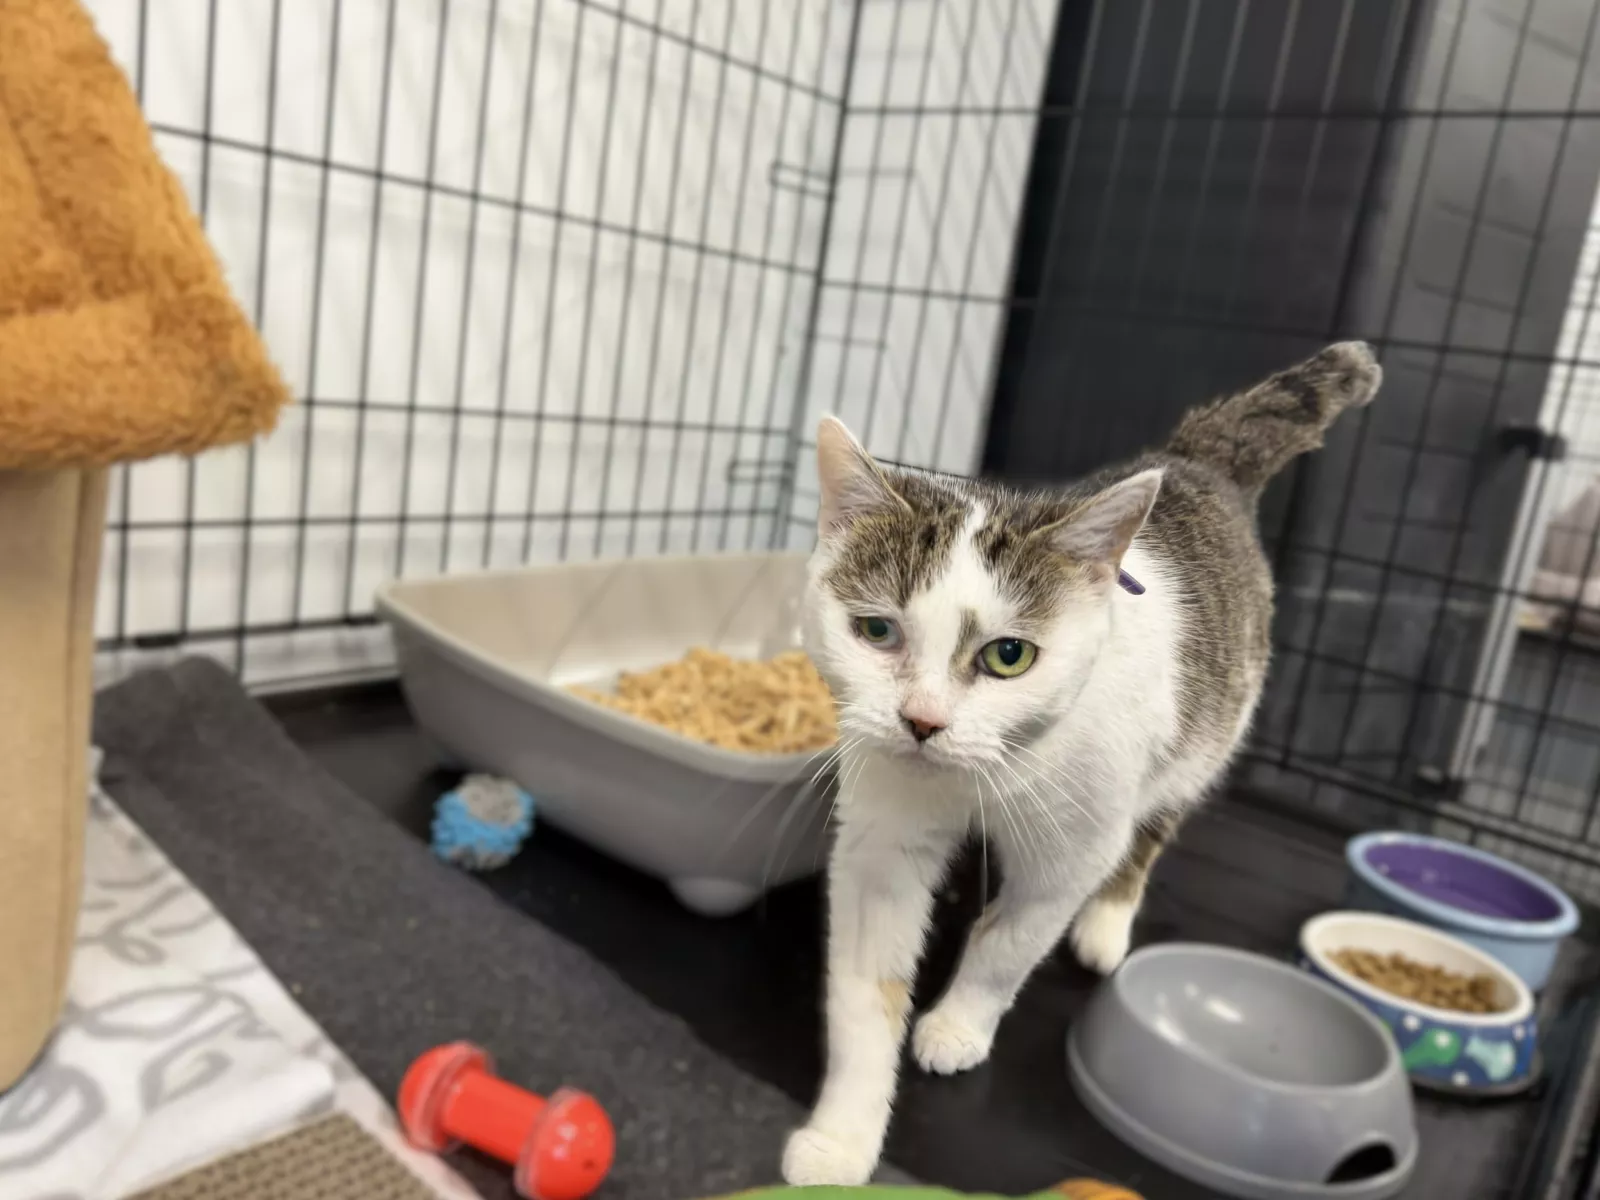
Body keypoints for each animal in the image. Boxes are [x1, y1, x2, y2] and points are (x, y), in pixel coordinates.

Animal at [783, 342, 1383, 1186]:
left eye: (1009, 656)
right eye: (876, 631)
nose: (923, 721)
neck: (978, 776)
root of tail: (1194, 458)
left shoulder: (1075, 844)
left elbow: (1010, 942)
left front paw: (957, 1028)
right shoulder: (880, 842)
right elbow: (866, 991)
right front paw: (841, 1138)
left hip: (1202, 740)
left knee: (1152, 831)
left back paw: (1105, 926)